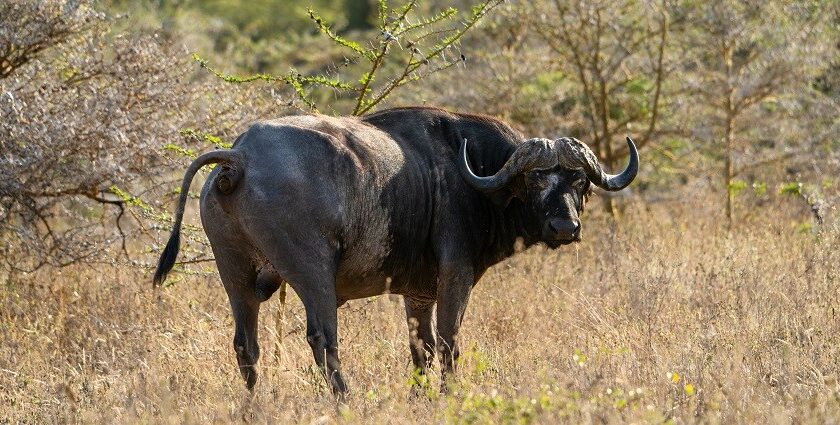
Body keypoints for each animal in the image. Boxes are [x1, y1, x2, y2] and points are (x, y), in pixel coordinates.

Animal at [154, 106, 636, 398]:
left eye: (579, 180)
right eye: (536, 179)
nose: (565, 227)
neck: (476, 174)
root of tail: (240, 156)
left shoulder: (417, 293)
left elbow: (421, 346)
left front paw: (421, 396)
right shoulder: (456, 276)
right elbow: (449, 342)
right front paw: (448, 395)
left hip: (235, 277)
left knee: (245, 346)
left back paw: (257, 404)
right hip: (312, 273)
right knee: (323, 340)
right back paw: (345, 400)